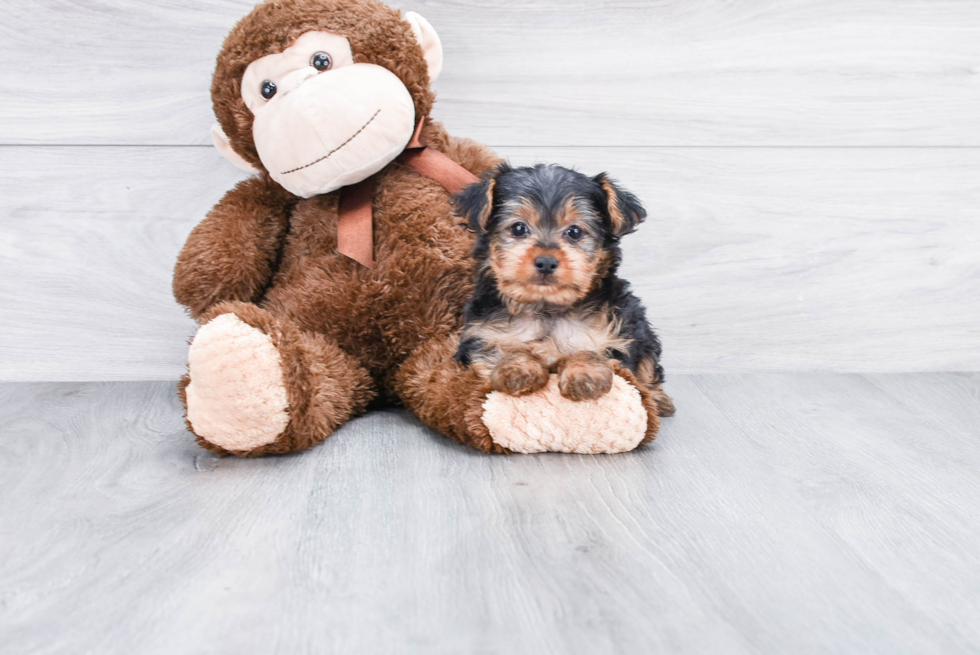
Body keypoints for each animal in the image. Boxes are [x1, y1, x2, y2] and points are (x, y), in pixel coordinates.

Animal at [452, 161, 672, 412]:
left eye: (575, 232)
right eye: (518, 228)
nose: (546, 262)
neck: (547, 307)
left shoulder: (615, 337)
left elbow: (591, 350)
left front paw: (585, 374)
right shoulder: (480, 336)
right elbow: (499, 350)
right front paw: (517, 368)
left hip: (640, 326)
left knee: (649, 364)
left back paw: (658, 398)